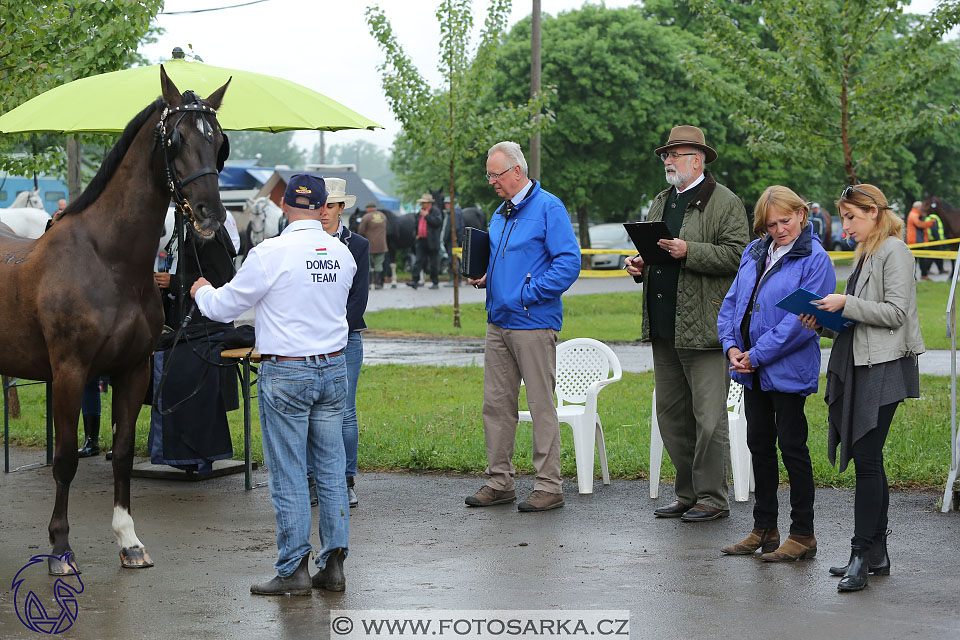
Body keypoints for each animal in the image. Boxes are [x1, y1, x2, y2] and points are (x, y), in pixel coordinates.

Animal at [0, 66, 229, 576]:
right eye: (175, 139)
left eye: (219, 141)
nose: (210, 213)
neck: (107, 260)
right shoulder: (70, 372)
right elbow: (66, 459)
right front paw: (60, 550)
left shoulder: (133, 369)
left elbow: (122, 453)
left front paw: (129, 541)